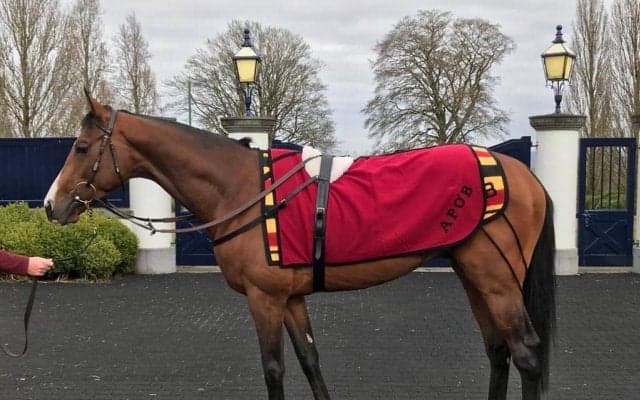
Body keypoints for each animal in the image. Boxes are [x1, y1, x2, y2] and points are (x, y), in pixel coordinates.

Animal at [44, 92, 556, 400]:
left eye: (82, 148)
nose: (52, 205)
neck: (242, 189)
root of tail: (522, 173)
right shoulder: (289, 298)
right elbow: (310, 359)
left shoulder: (264, 298)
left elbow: (274, 368)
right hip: (474, 275)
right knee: (498, 350)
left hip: (498, 278)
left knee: (527, 351)